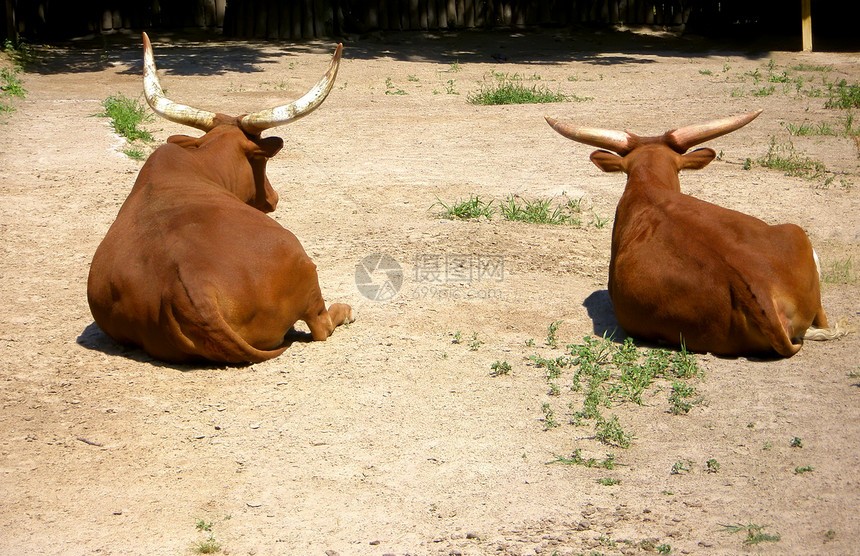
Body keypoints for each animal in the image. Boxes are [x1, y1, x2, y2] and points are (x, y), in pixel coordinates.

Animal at [86, 34, 352, 364]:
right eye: (262, 161)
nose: (273, 198)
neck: (202, 166)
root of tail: (196, 295)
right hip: (305, 268)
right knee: (321, 325)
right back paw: (345, 311)